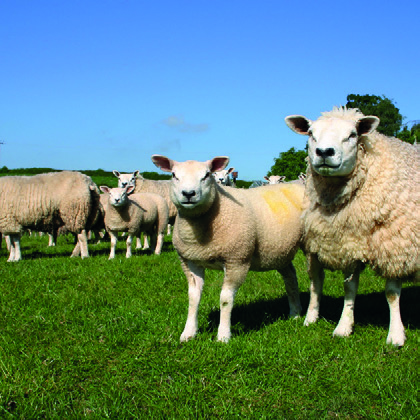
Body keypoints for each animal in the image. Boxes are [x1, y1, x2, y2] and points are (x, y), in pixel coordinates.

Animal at [151, 153, 306, 342]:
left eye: (207, 175)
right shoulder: (189, 261)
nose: (188, 194)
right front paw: (188, 333)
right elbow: (193, 297)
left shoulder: (237, 260)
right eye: (174, 175)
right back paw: (295, 313)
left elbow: (225, 299)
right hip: (279, 251)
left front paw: (223, 335)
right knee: (290, 277)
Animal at [284, 106, 418, 346]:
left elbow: (392, 293)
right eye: (311, 134)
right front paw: (343, 327)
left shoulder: (394, 244)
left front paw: (395, 335)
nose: (324, 152)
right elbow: (349, 287)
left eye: (352, 135)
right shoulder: (348, 242)